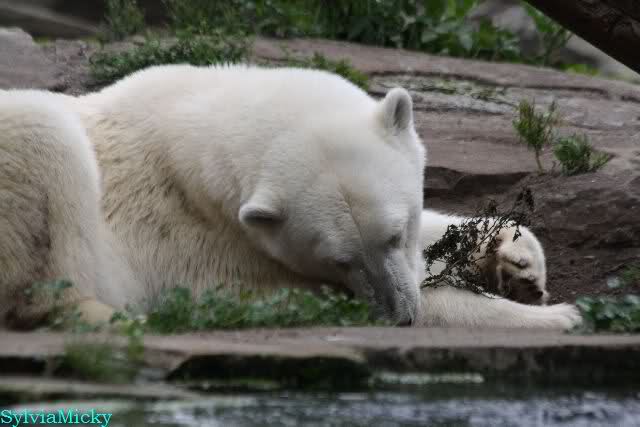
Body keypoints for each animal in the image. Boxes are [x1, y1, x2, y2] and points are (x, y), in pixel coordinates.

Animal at [0, 64, 581, 330]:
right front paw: (560, 317)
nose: (397, 315)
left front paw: (519, 263)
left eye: (396, 233)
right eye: (340, 259)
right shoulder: (206, 247)